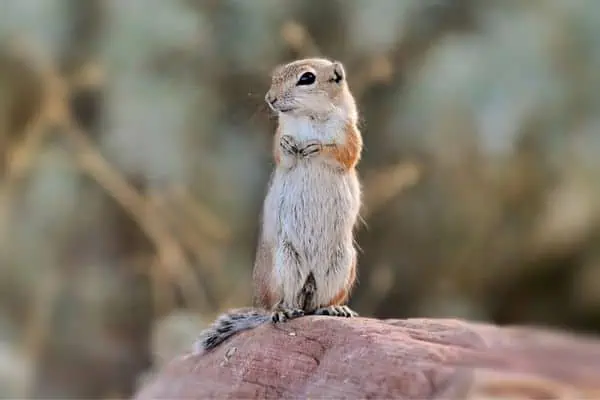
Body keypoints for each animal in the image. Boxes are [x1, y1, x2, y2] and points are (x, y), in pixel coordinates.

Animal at [196, 57, 360, 352]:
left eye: (307, 78)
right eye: (275, 77)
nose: (269, 98)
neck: (309, 117)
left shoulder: (350, 135)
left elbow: (347, 153)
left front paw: (317, 147)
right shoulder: (280, 135)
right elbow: (280, 154)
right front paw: (288, 145)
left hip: (340, 266)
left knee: (317, 305)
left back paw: (333, 309)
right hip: (284, 264)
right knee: (284, 303)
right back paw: (283, 311)